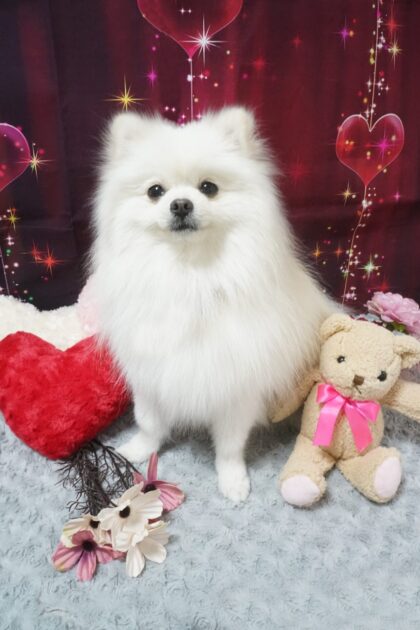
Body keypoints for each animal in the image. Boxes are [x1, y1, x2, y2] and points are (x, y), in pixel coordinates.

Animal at [91, 107, 334, 502]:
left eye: (209, 187)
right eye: (155, 191)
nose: (180, 204)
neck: (190, 275)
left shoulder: (236, 383)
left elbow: (231, 444)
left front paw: (232, 480)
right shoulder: (150, 370)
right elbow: (149, 422)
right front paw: (137, 450)